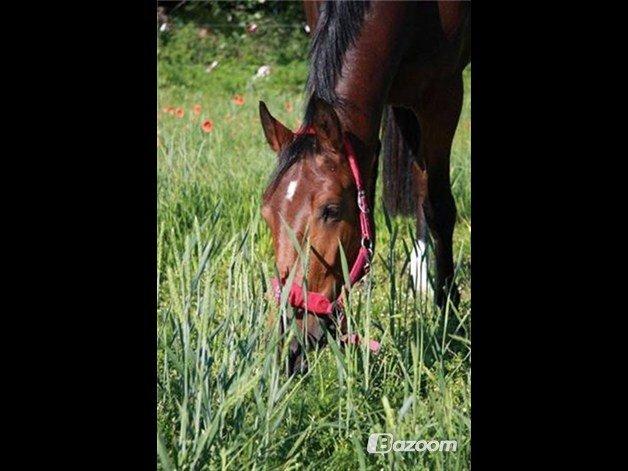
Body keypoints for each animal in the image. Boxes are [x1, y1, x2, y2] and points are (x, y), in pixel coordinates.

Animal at [260, 0, 472, 376]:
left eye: (330, 210)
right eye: (267, 213)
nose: (290, 345)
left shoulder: (444, 94)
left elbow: (439, 207)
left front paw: (449, 315)